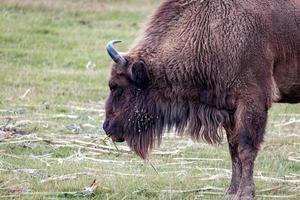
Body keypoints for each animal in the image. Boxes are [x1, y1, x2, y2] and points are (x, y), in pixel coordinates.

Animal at [102, 0, 298, 199]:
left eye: (116, 86)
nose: (107, 127)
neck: (210, 30)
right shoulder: (230, 109)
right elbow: (233, 149)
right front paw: (231, 192)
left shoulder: (252, 102)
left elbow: (246, 149)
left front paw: (245, 193)